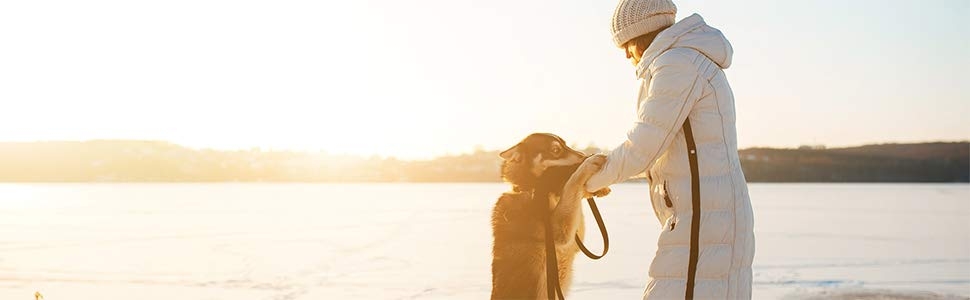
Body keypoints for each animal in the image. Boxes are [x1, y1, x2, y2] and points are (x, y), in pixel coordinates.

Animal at [488, 134, 608, 300]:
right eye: (555, 150)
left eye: (567, 145)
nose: (583, 156)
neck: (533, 188)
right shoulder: (559, 231)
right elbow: (572, 183)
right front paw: (588, 164)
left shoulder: (573, 239)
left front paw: (597, 189)